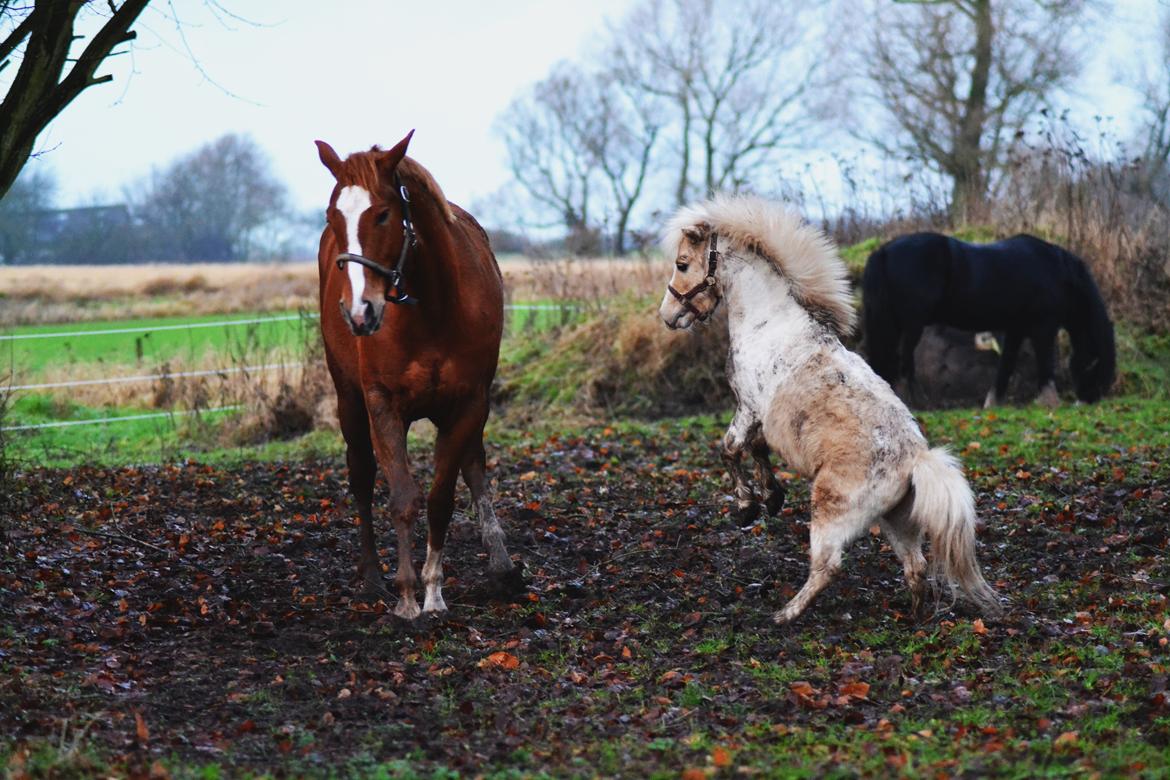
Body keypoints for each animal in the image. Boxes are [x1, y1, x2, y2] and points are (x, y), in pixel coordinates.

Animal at [315, 130, 519, 619]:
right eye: (333, 216)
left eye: (383, 214)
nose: (359, 312)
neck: (433, 310)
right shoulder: (382, 404)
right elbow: (403, 499)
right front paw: (408, 595)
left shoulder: (469, 404)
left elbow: (441, 497)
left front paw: (434, 592)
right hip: (349, 401)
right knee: (361, 474)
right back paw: (372, 576)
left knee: (473, 465)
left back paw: (500, 563)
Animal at [658, 195, 1001, 623]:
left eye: (682, 263)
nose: (668, 316)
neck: (768, 323)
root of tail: (916, 461)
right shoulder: (762, 417)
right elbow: (757, 449)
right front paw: (771, 496)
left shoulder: (749, 407)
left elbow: (731, 448)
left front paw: (747, 506)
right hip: (897, 521)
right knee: (916, 568)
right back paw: (914, 620)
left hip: (831, 515)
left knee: (829, 566)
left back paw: (784, 615)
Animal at [861, 232, 1115, 408]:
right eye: (1095, 363)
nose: (1089, 399)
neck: (1058, 271)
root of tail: (883, 251)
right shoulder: (1044, 327)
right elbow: (1045, 363)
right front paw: (1051, 402)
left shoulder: (1016, 330)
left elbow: (1006, 366)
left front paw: (992, 403)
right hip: (912, 325)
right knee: (905, 363)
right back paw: (916, 402)